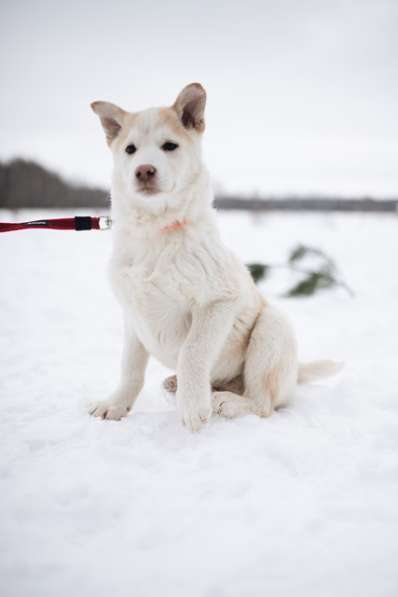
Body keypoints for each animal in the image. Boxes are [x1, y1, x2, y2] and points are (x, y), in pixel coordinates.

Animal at [88, 82, 338, 428]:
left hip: (271, 328)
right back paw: (178, 384)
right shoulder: (132, 316)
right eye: (130, 149)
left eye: (170, 146)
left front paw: (192, 405)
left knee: (262, 403)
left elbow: (191, 352)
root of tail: (295, 375)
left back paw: (226, 401)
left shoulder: (218, 301)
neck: (156, 231)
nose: (144, 171)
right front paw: (115, 405)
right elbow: (130, 368)